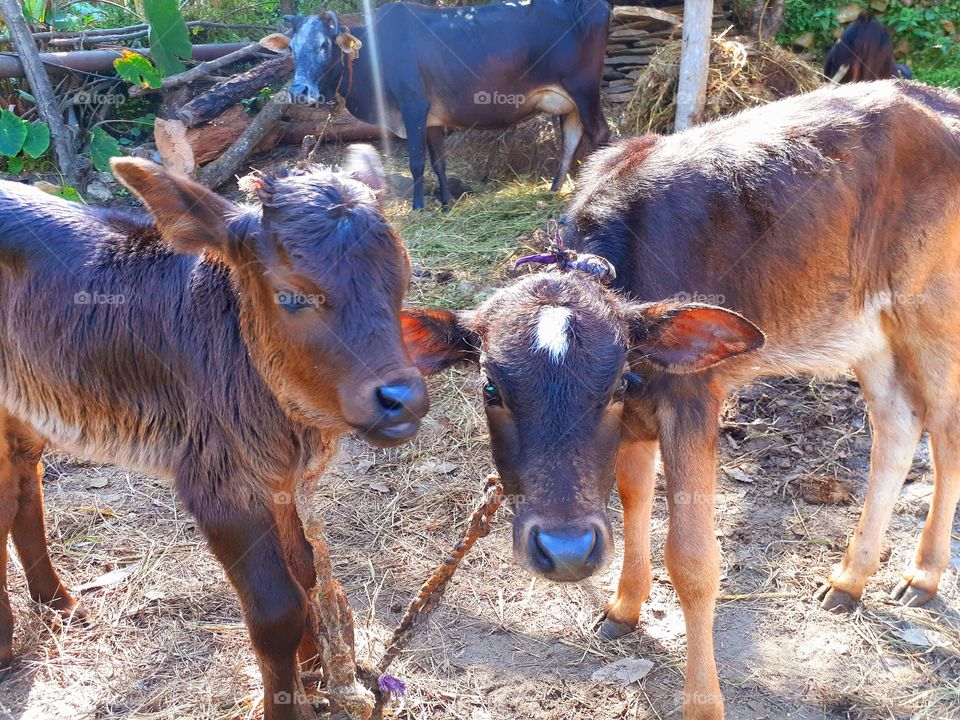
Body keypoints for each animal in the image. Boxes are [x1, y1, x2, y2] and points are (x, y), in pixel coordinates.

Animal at [0, 146, 429, 720]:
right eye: (291, 296)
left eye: (402, 273)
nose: (402, 397)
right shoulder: (217, 479)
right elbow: (277, 610)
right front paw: (286, 701)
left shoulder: (277, 478)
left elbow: (304, 574)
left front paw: (315, 671)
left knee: (23, 488)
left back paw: (58, 603)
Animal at [276, 1, 611, 210]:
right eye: (292, 48)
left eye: (323, 44)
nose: (298, 90)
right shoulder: (433, 119)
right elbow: (439, 163)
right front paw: (447, 203)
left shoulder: (413, 106)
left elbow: (416, 162)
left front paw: (418, 207)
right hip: (570, 103)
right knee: (570, 141)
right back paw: (555, 189)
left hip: (585, 91)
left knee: (600, 135)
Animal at [400, 81, 960, 718]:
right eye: (490, 387)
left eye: (616, 383)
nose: (566, 551)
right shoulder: (638, 423)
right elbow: (634, 498)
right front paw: (624, 605)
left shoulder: (693, 399)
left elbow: (692, 560)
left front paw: (704, 702)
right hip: (867, 326)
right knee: (897, 425)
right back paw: (850, 579)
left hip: (932, 307)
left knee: (945, 428)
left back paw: (924, 575)